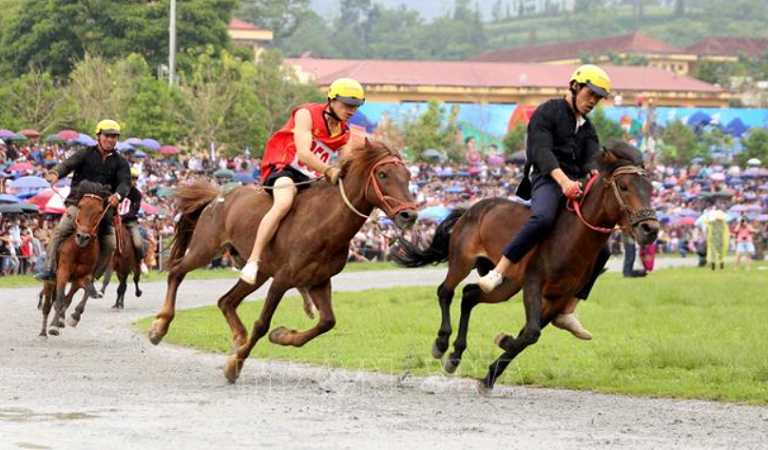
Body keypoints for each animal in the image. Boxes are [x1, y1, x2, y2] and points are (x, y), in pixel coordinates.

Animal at [39, 181, 112, 336]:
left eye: (99, 211)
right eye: (80, 206)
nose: (82, 237)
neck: (80, 250)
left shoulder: (84, 276)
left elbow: (84, 293)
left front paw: (74, 317)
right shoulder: (63, 272)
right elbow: (60, 298)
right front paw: (54, 326)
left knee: (69, 297)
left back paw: (62, 318)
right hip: (50, 281)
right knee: (47, 305)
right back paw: (43, 332)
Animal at [146, 140, 416, 384]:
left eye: (408, 175)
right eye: (382, 174)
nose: (409, 215)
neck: (323, 222)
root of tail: (217, 197)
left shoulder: (318, 281)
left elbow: (327, 322)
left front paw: (282, 335)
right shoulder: (283, 279)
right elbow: (262, 324)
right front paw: (236, 364)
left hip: (258, 273)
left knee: (226, 301)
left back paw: (238, 337)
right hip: (205, 248)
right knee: (177, 272)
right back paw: (160, 326)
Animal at [392, 143, 656, 390]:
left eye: (650, 188)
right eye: (624, 186)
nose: (650, 229)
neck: (571, 237)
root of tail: (470, 209)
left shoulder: (558, 297)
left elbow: (528, 334)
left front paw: (491, 373)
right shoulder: (533, 283)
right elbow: (530, 333)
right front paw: (502, 343)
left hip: (506, 284)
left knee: (469, 295)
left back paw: (455, 355)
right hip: (462, 260)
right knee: (446, 291)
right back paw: (441, 344)